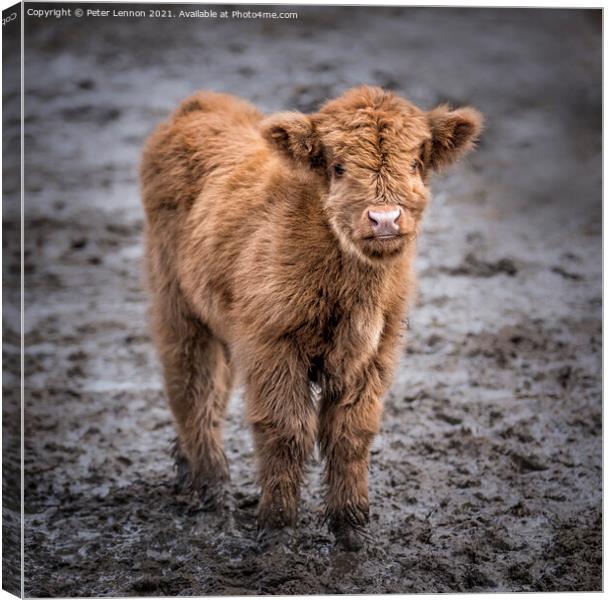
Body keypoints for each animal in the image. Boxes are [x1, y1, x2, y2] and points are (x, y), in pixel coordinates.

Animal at [140, 86, 482, 552]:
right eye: (338, 166)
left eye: (415, 163)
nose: (385, 219)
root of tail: (201, 103)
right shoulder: (272, 344)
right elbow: (285, 430)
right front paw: (277, 527)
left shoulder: (373, 354)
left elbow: (350, 433)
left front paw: (351, 527)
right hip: (177, 306)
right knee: (192, 385)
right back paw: (210, 487)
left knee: (210, 387)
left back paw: (186, 466)